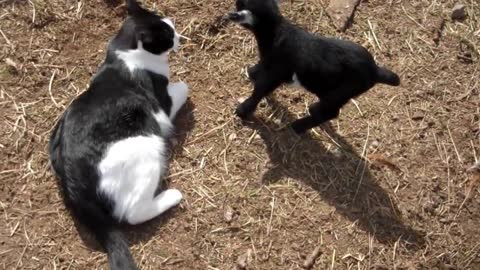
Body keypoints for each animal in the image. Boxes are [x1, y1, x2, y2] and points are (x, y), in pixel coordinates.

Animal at [49, 1, 188, 268]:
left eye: (170, 26)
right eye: (167, 34)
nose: (179, 36)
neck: (124, 52)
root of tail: (73, 183)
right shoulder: (162, 105)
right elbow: (185, 86)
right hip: (145, 147)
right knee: (133, 213)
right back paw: (171, 196)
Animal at [225, 0, 402, 133]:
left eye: (240, 4)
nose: (229, 15)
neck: (275, 31)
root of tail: (375, 70)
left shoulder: (277, 72)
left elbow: (260, 90)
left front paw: (242, 111)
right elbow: (260, 71)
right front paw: (252, 72)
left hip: (340, 93)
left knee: (329, 112)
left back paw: (300, 125)